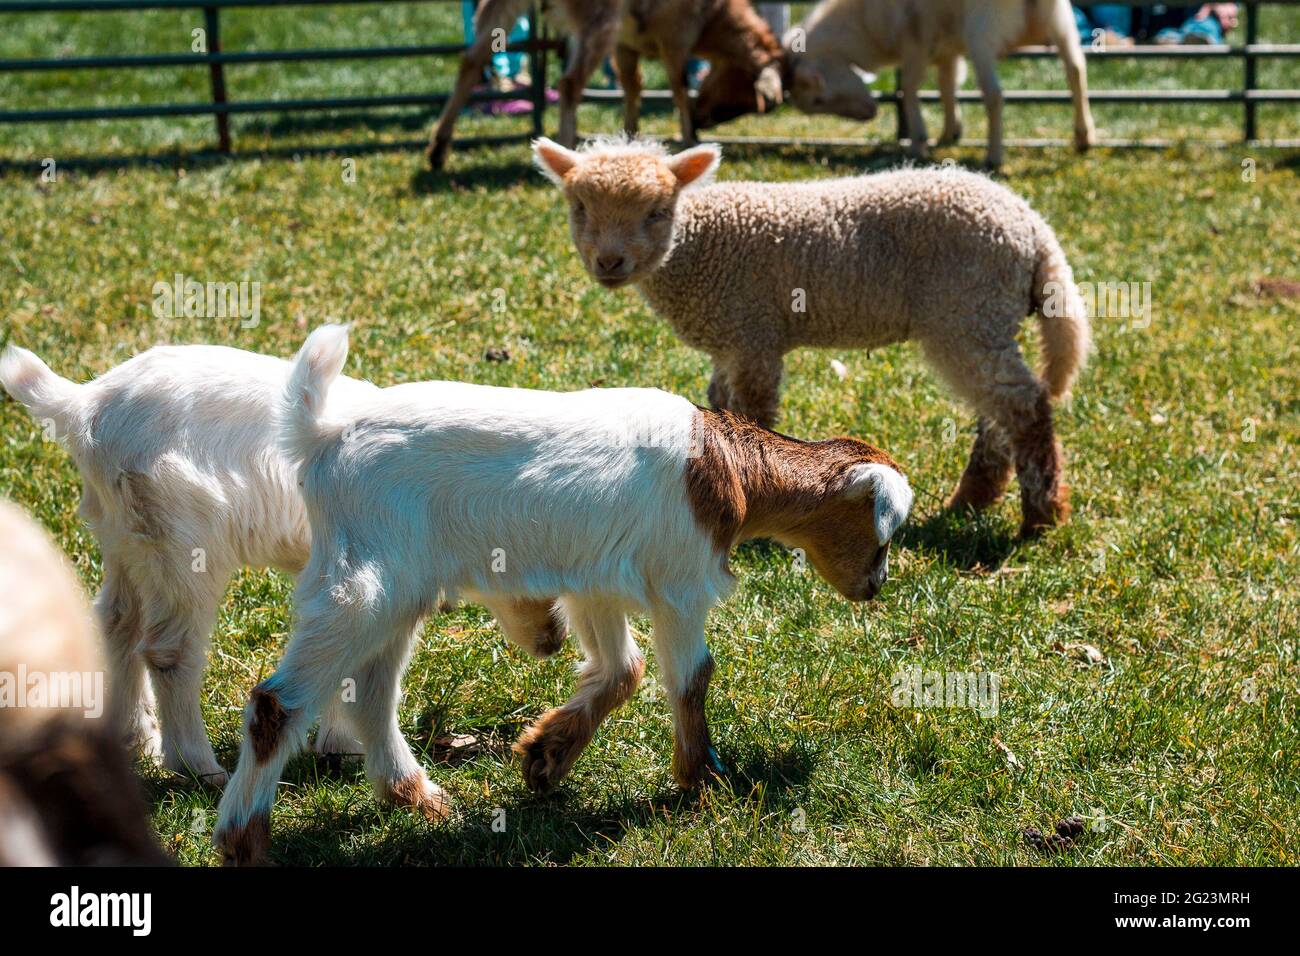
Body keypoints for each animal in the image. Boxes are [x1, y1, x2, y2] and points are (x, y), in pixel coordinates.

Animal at [0, 340, 383, 784]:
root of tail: (84, 405)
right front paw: (347, 748)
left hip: (123, 536)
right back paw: (198, 767)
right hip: (183, 541)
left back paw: (136, 740)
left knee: (118, 621)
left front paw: (341, 748)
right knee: (169, 650)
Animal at [212, 323, 913, 865]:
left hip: (397, 586)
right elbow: (691, 677)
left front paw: (546, 757)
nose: (874, 587)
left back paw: (418, 797)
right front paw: (702, 784)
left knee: (371, 691)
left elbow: (623, 668)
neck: (726, 467)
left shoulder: (595, 582)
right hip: (361, 583)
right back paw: (243, 841)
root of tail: (323, 435)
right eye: (883, 535)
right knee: (278, 705)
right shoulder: (680, 583)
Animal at [426, 0, 784, 169]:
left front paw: (631, 137)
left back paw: (439, 149)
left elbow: (632, 86)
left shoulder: (625, 46)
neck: (714, 19)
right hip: (599, 20)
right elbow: (679, 88)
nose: (703, 121)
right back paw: (566, 147)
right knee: (569, 84)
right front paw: (688, 136)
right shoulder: (675, 36)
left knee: (471, 61)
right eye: (746, 98)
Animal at [532, 135, 1091, 536]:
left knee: (1023, 404)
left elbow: (753, 414)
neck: (697, 246)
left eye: (657, 212)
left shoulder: (754, 332)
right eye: (579, 208)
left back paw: (1041, 515)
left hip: (967, 309)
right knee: (996, 411)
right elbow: (720, 406)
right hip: (982, 318)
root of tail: (1034, 229)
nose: (609, 262)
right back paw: (973, 499)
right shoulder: (730, 339)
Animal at [695, 0, 1095, 170]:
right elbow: (948, 86)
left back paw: (994, 155)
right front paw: (949, 133)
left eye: (819, 100)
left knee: (995, 95)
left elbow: (912, 90)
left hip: (982, 29)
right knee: (1077, 71)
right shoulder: (947, 49)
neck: (861, 23)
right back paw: (1083, 136)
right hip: (1060, 22)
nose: (871, 113)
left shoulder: (916, 43)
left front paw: (918, 140)